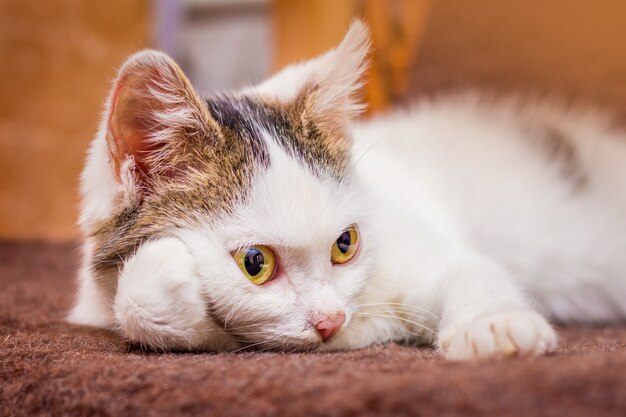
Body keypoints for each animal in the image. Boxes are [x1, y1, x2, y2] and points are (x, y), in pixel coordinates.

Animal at [68, 21, 624, 360]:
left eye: (345, 244)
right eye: (255, 263)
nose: (331, 319)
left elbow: (471, 270)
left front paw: (495, 327)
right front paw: (163, 274)